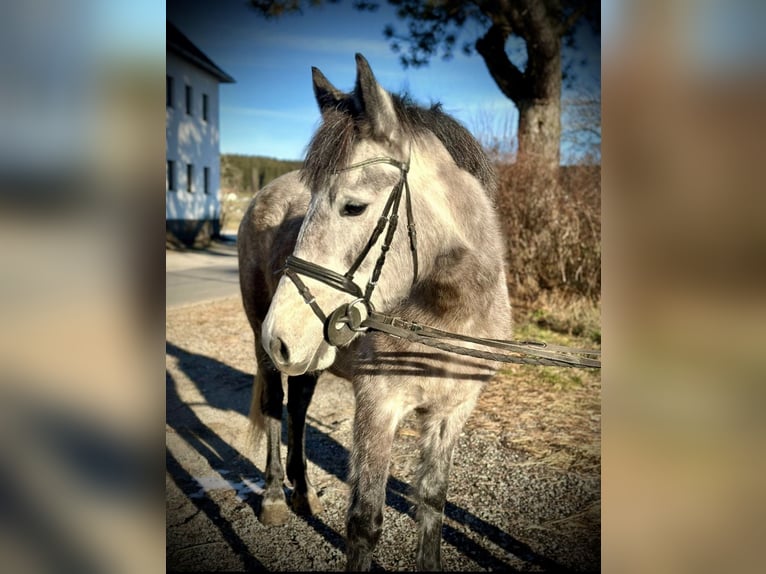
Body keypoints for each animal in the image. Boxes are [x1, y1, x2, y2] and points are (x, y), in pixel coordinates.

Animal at [237, 53, 512, 572]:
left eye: (353, 207)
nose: (280, 336)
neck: (448, 318)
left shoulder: (452, 412)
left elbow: (432, 503)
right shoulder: (378, 408)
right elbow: (365, 522)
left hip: (310, 360)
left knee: (298, 407)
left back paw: (304, 493)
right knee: (274, 406)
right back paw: (276, 498)